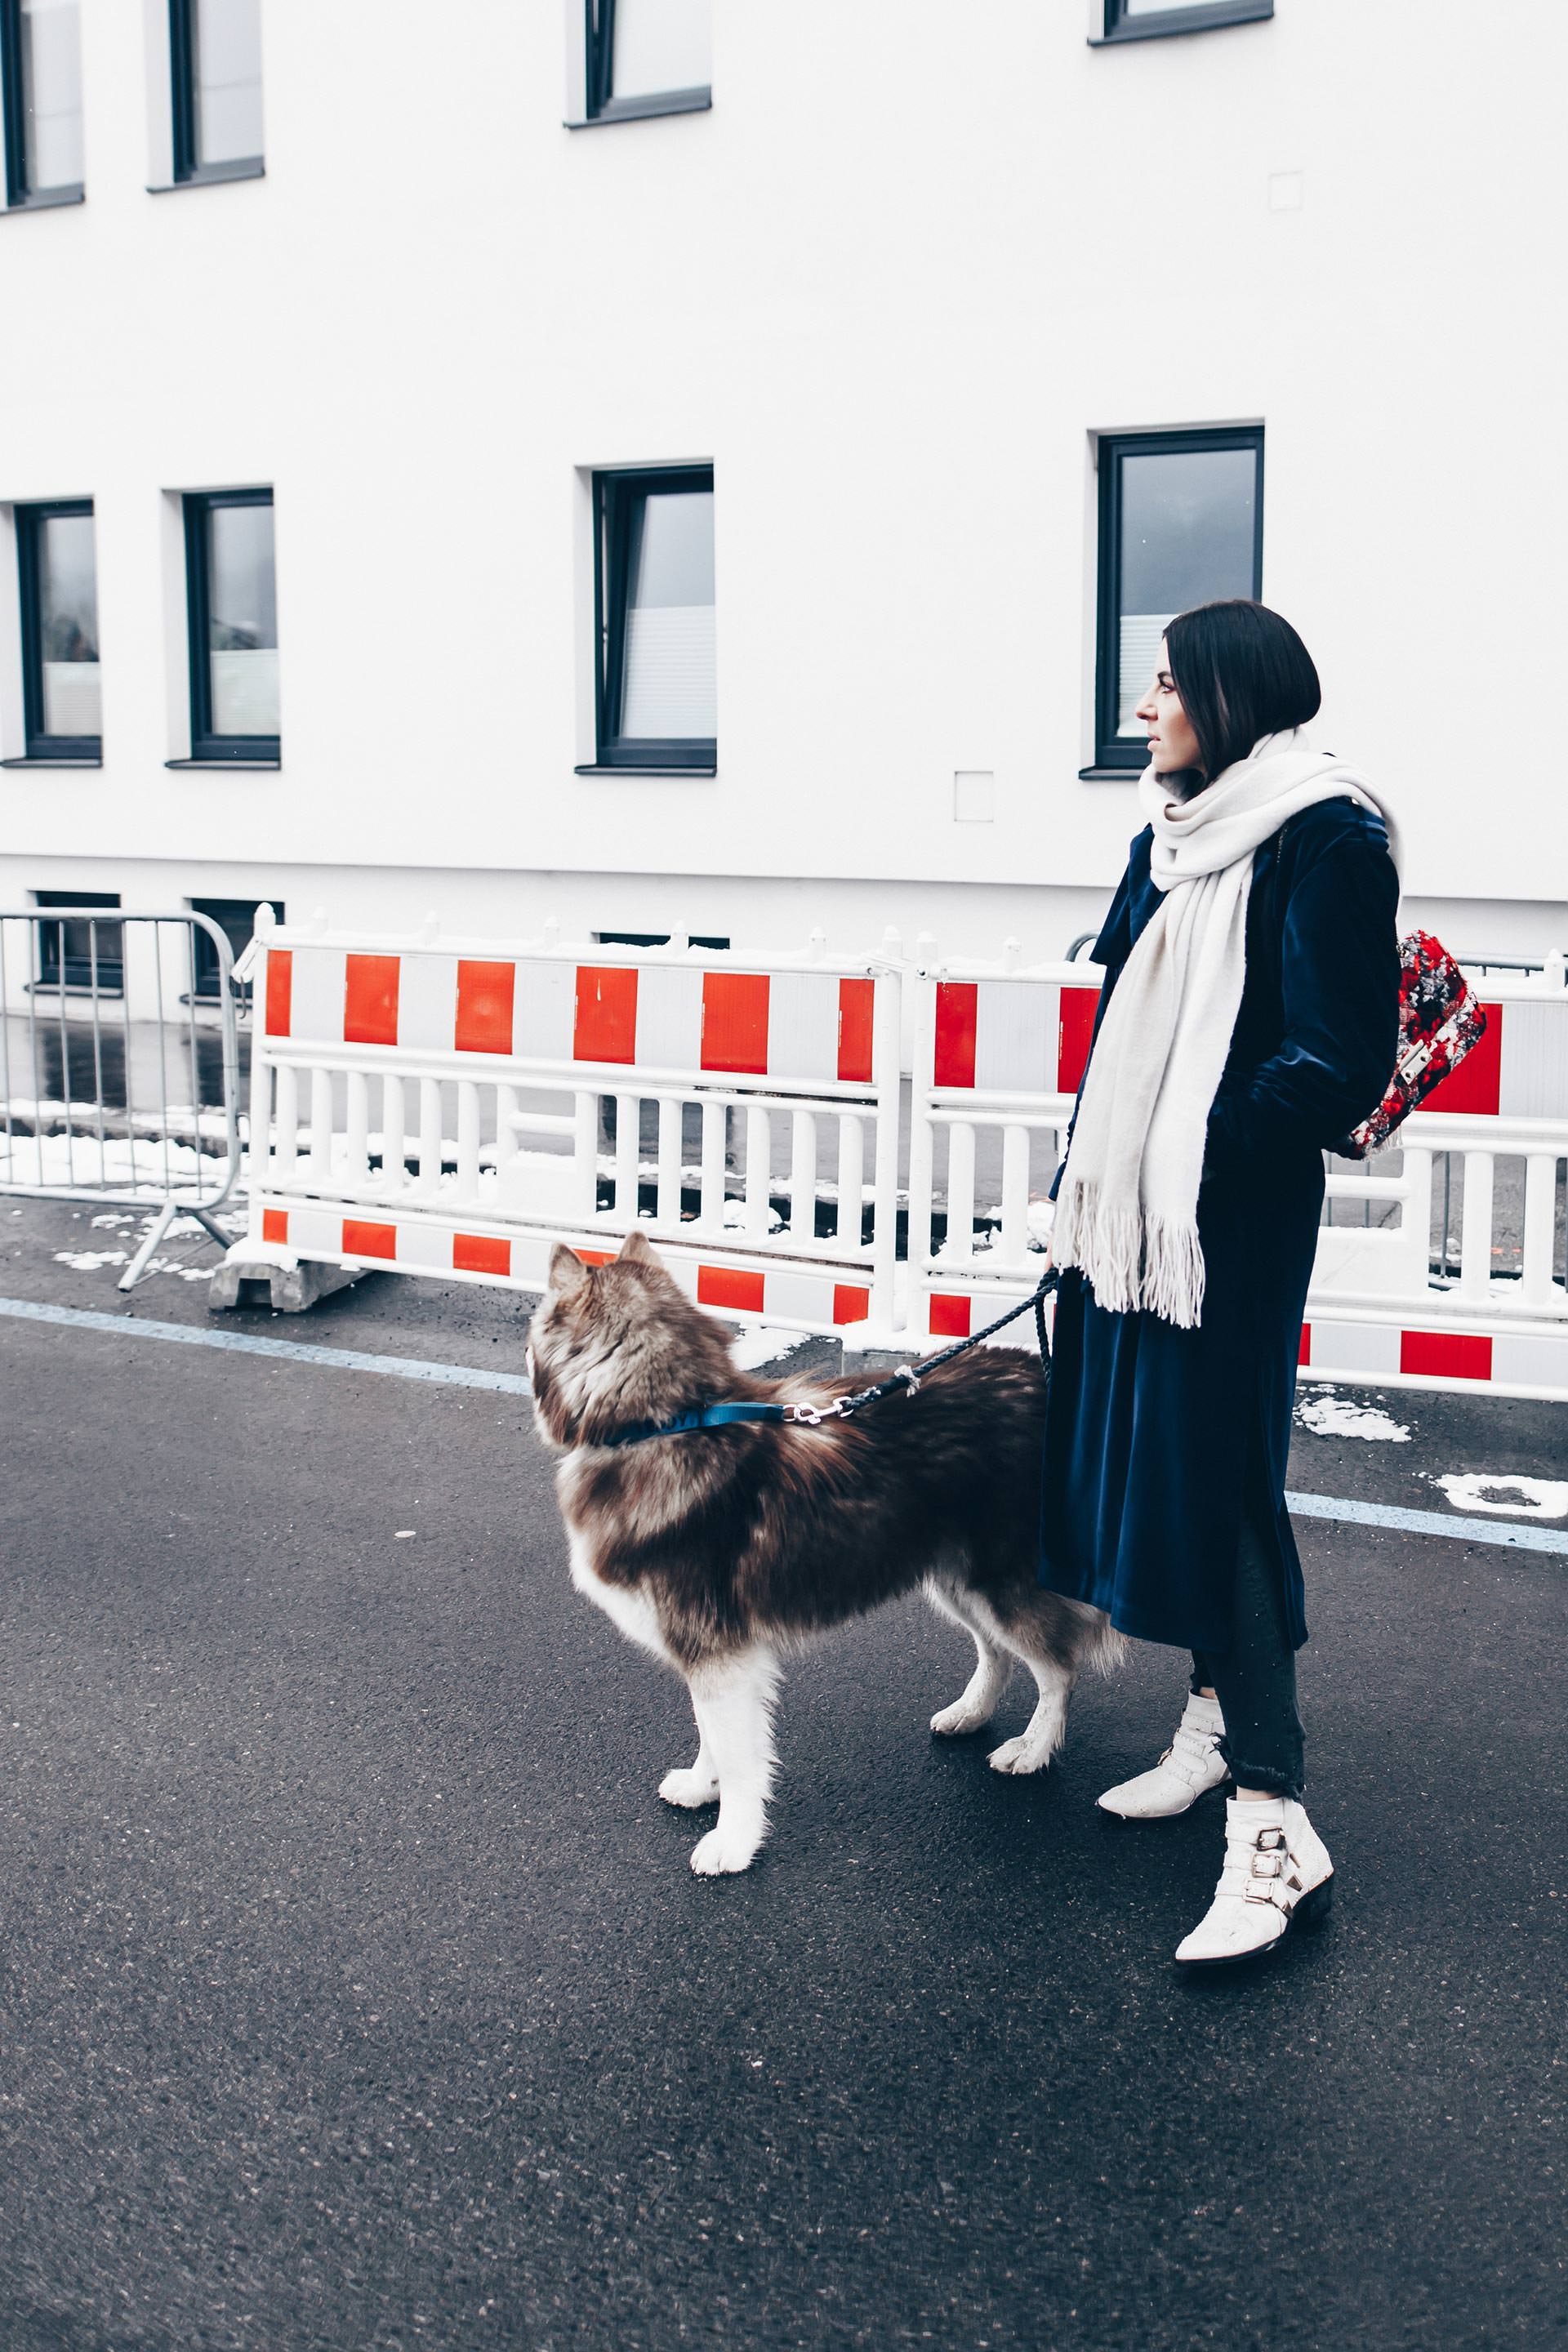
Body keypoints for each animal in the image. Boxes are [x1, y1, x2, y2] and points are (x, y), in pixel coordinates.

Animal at [533, 1232, 1123, 1872]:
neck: (669, 1422)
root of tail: (1044, 1374)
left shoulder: (720, 1653)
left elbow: (737, 1755)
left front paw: (732, 1840)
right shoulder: (709, 1652)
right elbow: (711, 1735)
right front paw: (701, 1786)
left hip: (1001, 1582)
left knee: (1058, 1668)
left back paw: (1033, 1749)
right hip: (957, 1577)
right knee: (998, 1653)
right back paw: (971, 1714)